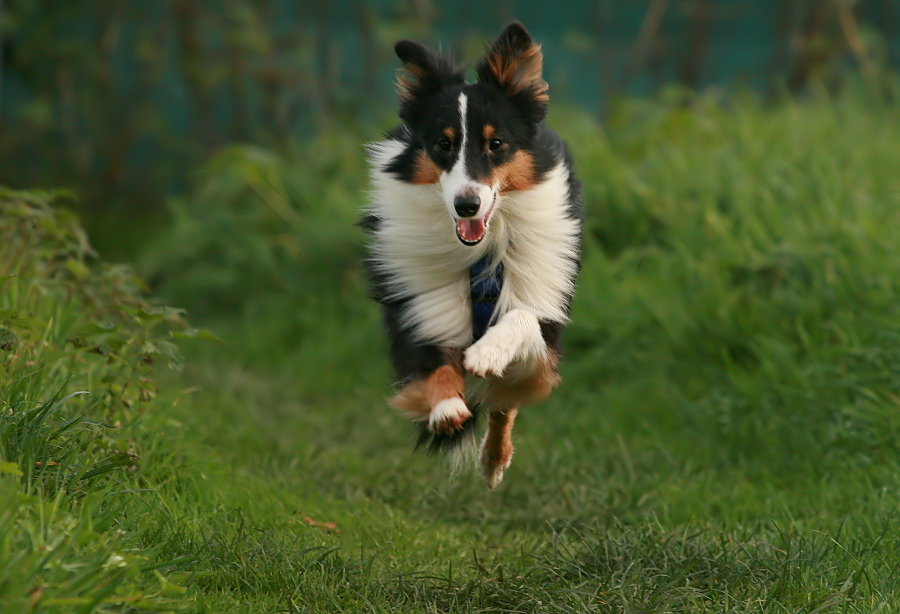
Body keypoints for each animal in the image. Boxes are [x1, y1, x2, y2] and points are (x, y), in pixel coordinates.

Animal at [364, 21, 584, 488]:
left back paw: (494, 460)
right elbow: (435, 366)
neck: (481, 252)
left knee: (504, 405)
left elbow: (520, 321)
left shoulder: (544, 329)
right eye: (443, 145)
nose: (467, 206)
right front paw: (448, 408)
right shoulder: (422, 309)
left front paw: (486, 353)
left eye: (496, 143)